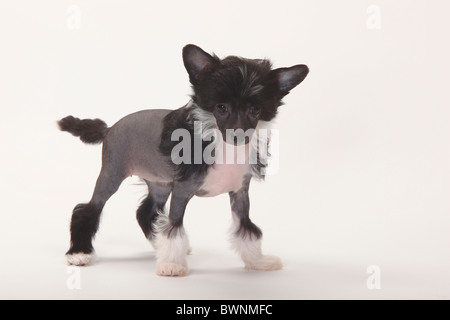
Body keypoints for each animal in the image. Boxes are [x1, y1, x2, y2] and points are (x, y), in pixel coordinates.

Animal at [58, 43, 308, 276]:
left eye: (255, 110)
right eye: (221, 107)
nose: (238, 135)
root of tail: (109, 129)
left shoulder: (240, 194)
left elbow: (247, 228)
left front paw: (258, 261)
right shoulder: (182, 190)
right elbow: (175, 226)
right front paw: (171, 264)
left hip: (159, 184)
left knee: (146, 213)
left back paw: (157, 243)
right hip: (111, 174)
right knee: (88, 209)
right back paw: (79, 253)